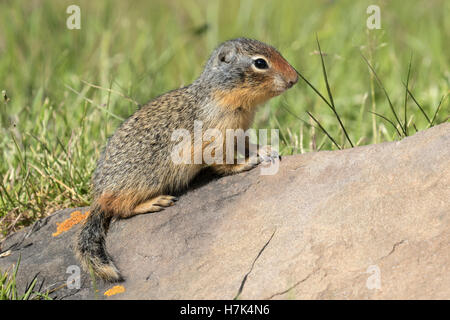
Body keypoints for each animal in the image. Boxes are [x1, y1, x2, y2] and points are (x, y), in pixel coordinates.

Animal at [75, 38, 298, 282]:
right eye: (260, 63)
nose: (295, 78)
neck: (221, 95)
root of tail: (98, 195)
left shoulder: (239, 132)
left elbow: (247, 143)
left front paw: (266, 150)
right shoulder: (215, 139)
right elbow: (225, 163)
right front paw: (247, 163)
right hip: (143, 183)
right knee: (120, 210)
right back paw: (155, 202)